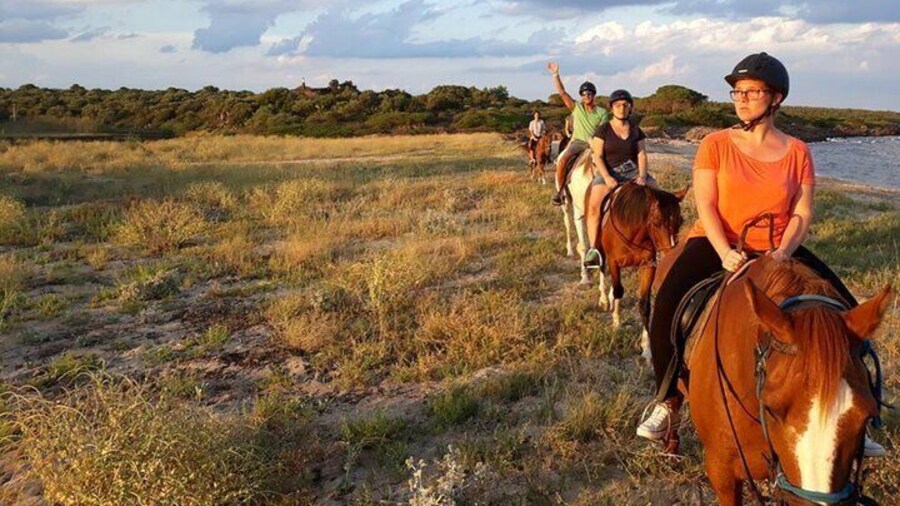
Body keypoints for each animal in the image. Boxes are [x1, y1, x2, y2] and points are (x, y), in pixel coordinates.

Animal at [595, 182, 687, 359]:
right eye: (657, 222)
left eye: (680, 221)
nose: (671, 255)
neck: (632, 233)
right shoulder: (614, 263)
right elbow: (618, 290)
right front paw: (616, 323)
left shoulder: (648, 266)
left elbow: (644, 304)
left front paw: (646, 348)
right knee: (602, 269)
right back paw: (603, 299)